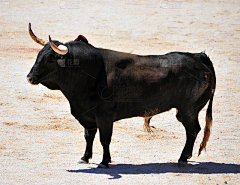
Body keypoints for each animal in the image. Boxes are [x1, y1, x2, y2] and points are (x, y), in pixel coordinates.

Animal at [27, 37, 217, 168]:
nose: (29, 77)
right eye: (38, 55)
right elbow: (89, 136)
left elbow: (104, 139)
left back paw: (182, 158)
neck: (90, 72)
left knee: (192, 131)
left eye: (50, 59)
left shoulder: (104, 116)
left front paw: (104, 162)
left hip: (188, 110)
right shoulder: (87, 115)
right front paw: (85, 157)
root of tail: (198, 56)